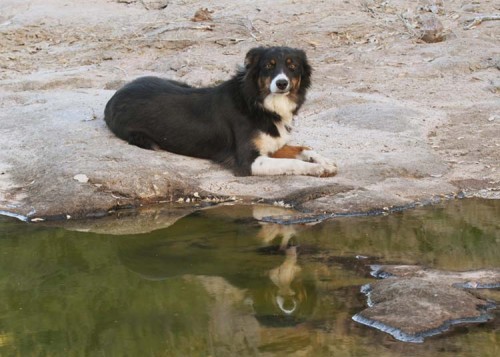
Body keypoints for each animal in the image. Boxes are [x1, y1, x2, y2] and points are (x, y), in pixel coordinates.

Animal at [104, 46, 338, 177]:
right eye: (269, 66)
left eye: (292, 66)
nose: (281, 83)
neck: (258, 103)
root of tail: (116, 95)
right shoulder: (247, 160)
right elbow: (292, 161)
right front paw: (317, 169)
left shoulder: (271, 145)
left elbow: (304, 148)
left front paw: (324, 161)